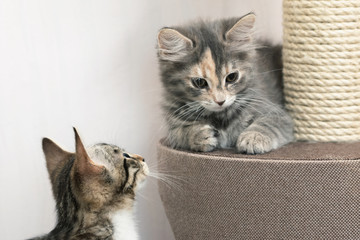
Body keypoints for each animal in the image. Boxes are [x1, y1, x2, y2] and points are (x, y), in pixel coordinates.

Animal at [156, 13, 294, 154]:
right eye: (200, 82)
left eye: (231, 77)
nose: (220, 101)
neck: (220, 116)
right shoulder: (173, 123)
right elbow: (181, 132)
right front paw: (198, 135)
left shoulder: (277, 113)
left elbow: (267, 124)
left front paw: (253, 138)